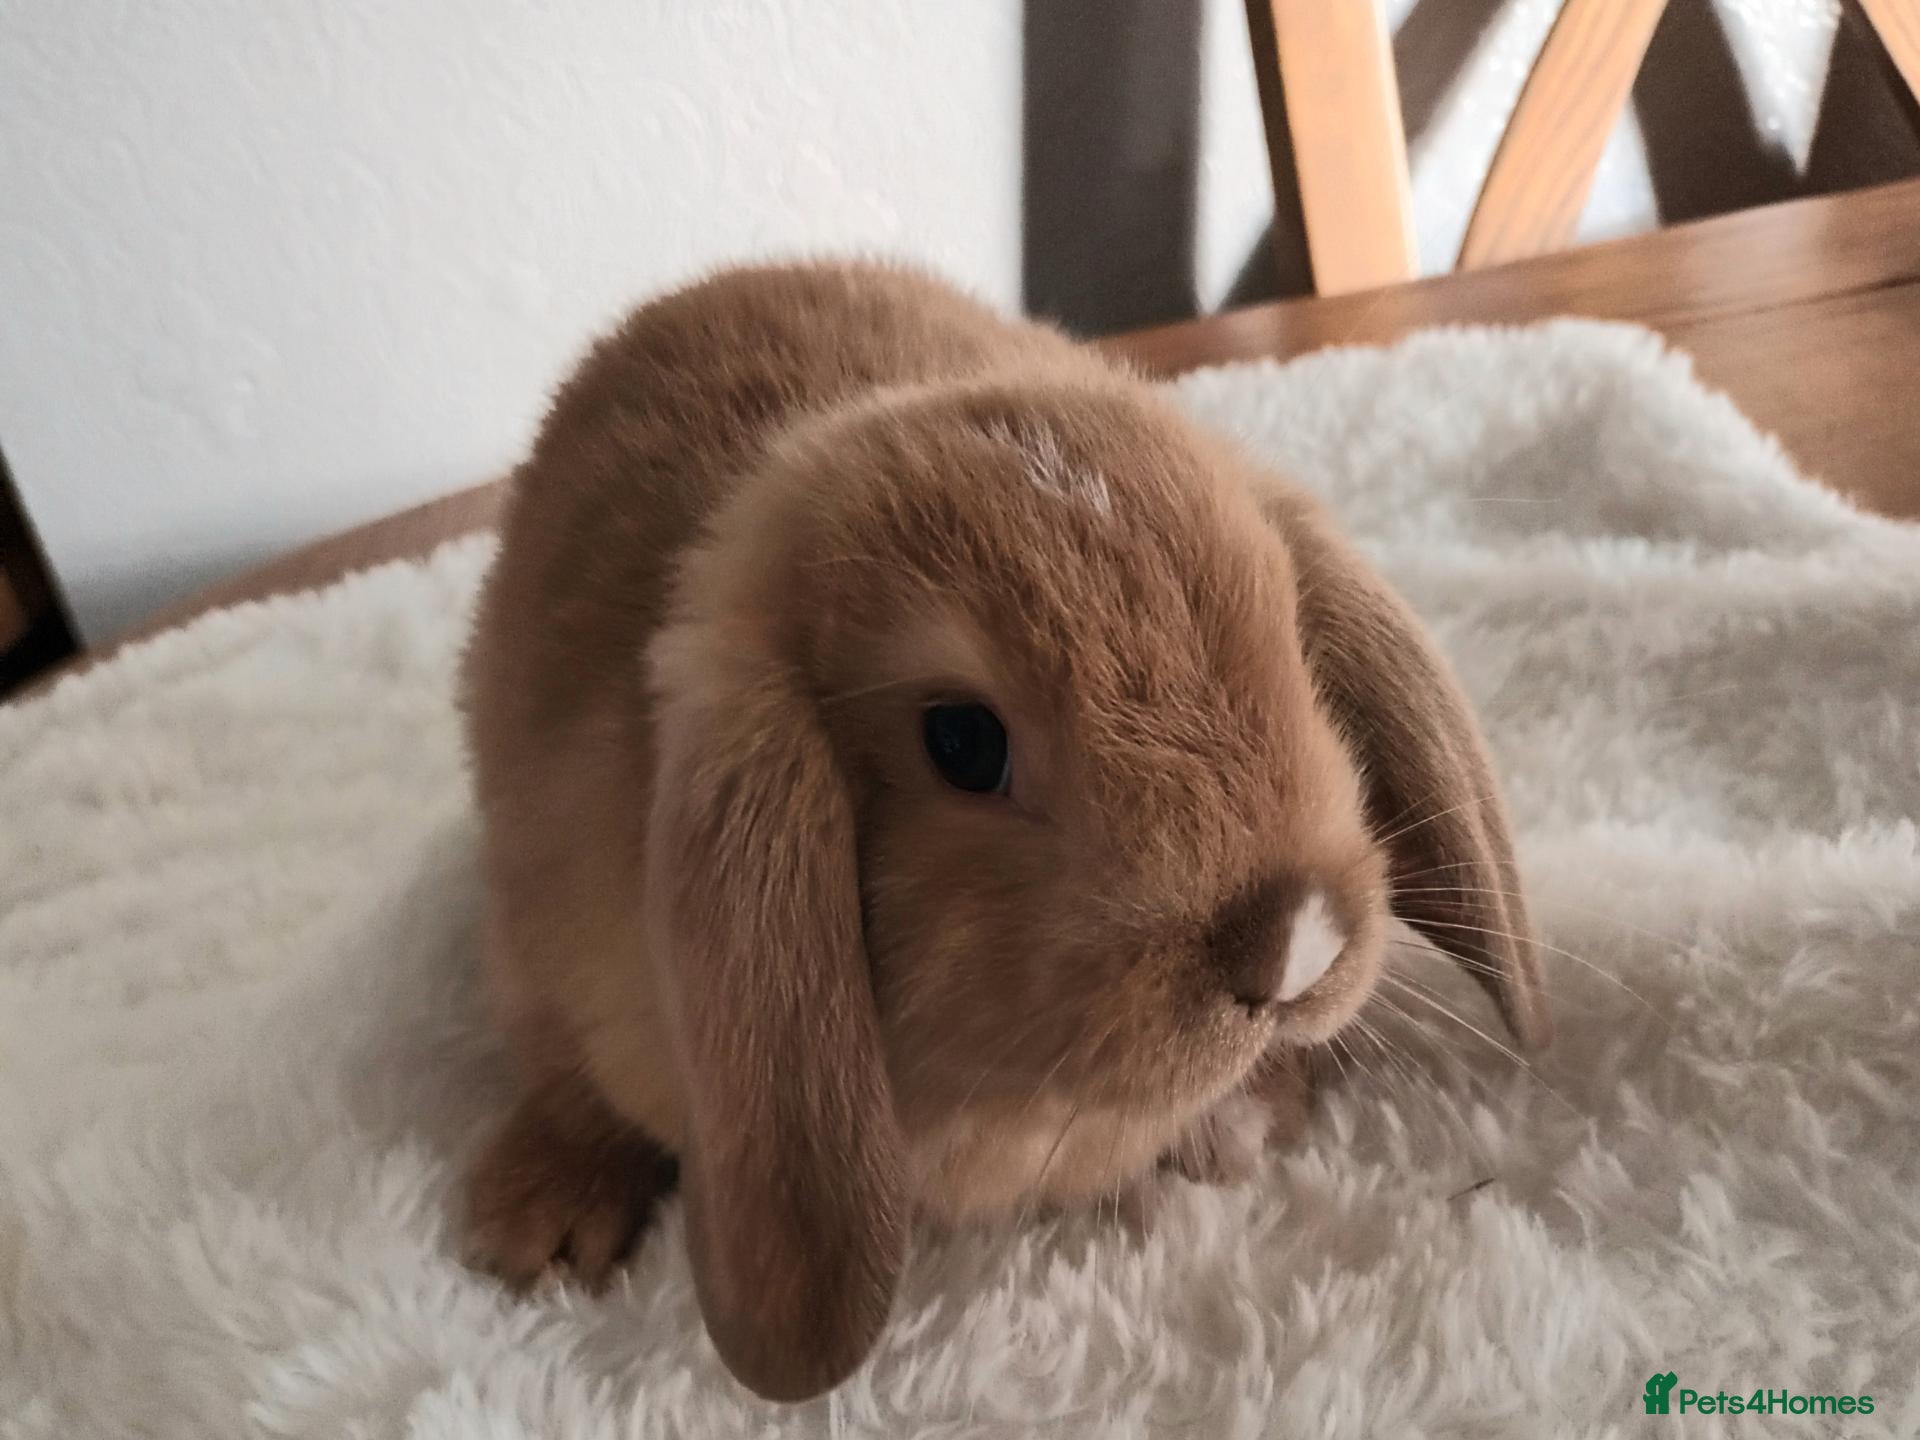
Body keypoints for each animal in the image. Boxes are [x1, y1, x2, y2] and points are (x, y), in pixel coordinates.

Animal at [458, 260, 1550, 1403]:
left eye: (1292, 636)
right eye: (963, 742)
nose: (1294, 941)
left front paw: (1239, 1127)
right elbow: (574, 1087)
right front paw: (537, 1237)